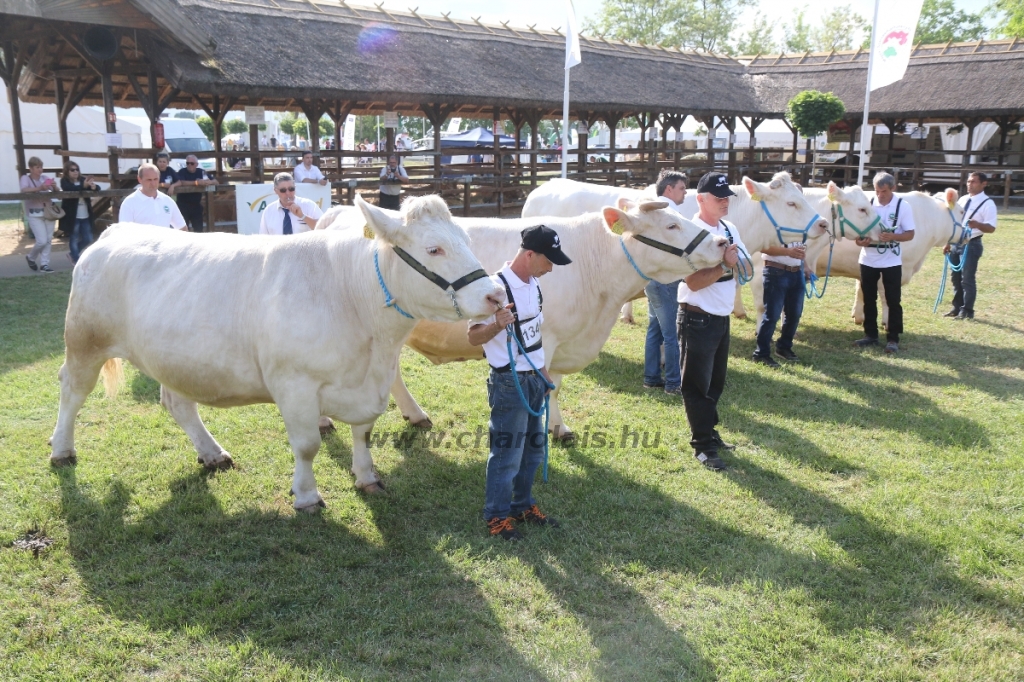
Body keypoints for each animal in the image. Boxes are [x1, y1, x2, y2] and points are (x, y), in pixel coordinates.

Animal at [49, 193, 505, 507]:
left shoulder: (369, 384)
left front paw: (367, 477)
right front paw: (306, 497)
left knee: (178, 404)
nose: (497, 294)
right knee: (71, 392)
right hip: (85, 341)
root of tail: (115, 232)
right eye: (434, 249)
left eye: (466, 239)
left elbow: (364, 433)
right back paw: (61, 450)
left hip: (173, 357)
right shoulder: (294, 383)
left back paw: (212, 453)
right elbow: (307, 446)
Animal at [319, 196, 729, 440]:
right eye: (672, 226)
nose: (722, 242)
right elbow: (548, 386)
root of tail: (339, 211)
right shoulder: (548, 337)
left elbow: (556, 384)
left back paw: (414, 414)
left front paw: (559, 427)